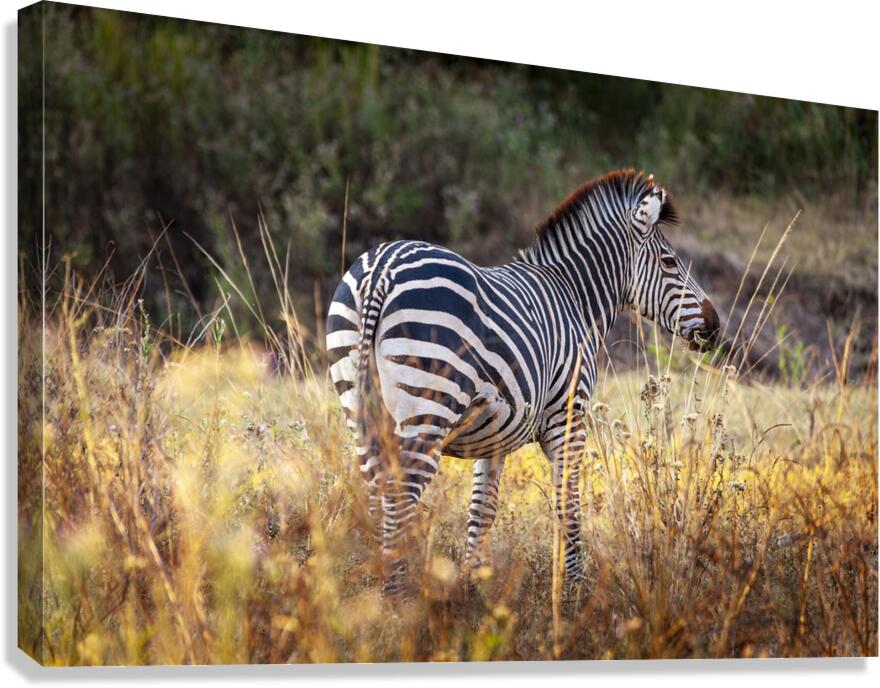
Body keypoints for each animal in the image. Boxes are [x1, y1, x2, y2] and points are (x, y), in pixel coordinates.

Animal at [325, 169, 720, 596]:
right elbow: (567, 501)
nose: (716, 327)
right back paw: (398, 599)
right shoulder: (569, 418)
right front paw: (573, 589)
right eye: (670, 262)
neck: (575, 299)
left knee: (376, 491)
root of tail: (382, 268)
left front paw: (470, 585)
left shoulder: (494, 434)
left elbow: (482, 508)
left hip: (359, 401)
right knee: (399, 495)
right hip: (428, 404)